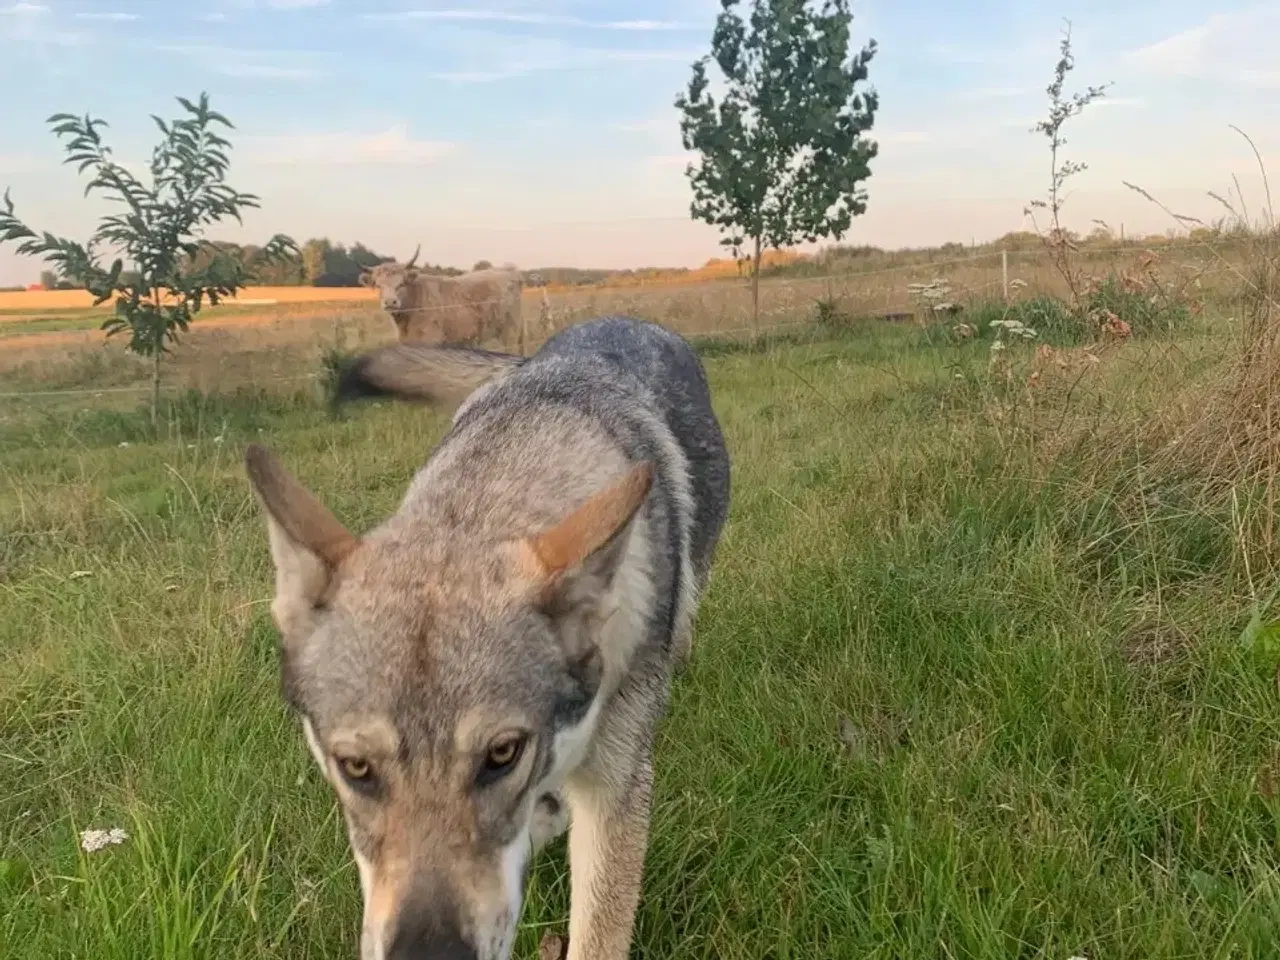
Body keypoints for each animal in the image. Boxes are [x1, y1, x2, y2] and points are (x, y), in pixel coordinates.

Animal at [358, 248, 522, 353]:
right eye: (378, 285)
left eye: (402, 284)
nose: (390, 302)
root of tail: (509, 270)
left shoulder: (431, 341)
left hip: (510, 332)